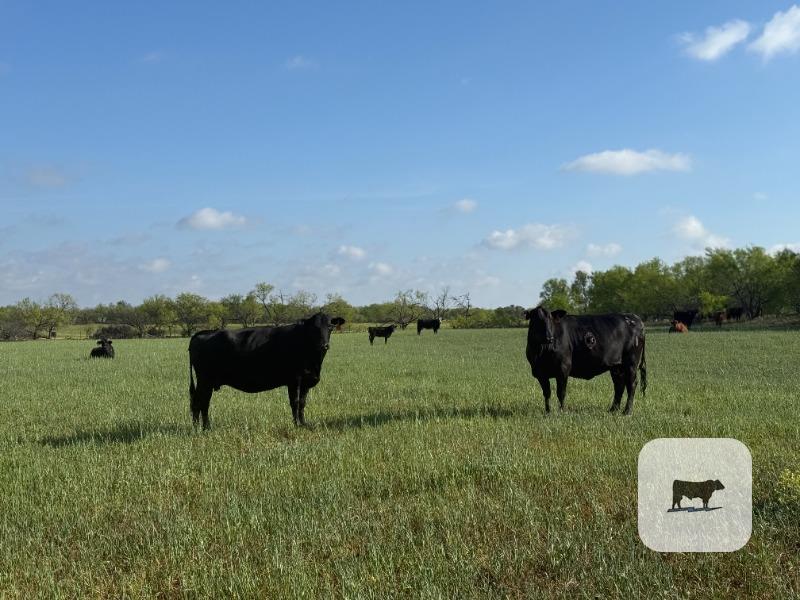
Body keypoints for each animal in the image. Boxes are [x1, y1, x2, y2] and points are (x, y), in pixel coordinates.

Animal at [188, 313, 345, 430]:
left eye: (330, 327)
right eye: (314, 328)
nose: (324, 345)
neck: (315, 362)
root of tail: (204, 333)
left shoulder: (306, 381)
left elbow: (302, 403)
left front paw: (304, 423)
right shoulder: (294, 380)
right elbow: (294, 402)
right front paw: (296, 425)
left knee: (199, 402)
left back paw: (198, 427)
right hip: (205, 380)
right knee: (201, 402)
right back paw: (204, 428)